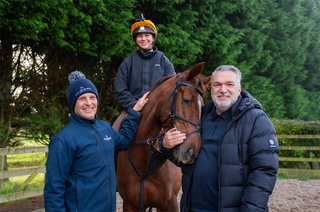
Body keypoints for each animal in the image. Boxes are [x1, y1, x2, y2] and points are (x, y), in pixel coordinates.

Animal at [116, 62, 211, 211]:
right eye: (186, 100)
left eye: (203, 106)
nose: (192, 152)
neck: (145, 161)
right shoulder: (130, 204)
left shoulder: (170, 203)